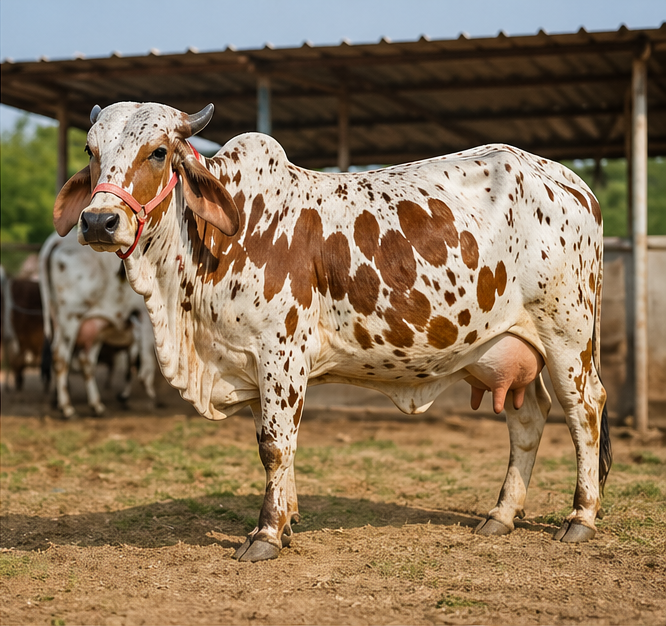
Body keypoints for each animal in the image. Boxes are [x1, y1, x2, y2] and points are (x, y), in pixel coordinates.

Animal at [39, 229, 157, 418]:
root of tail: (58, 240)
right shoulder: (143, 318)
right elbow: (144, 361)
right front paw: (145, 397)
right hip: (70, 318)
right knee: (60, 356)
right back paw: (67, 408)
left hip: (87, 325)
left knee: (85, 361)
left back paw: (95, 405)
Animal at [52, 102, 611, 561]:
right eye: (92, 150)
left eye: (158, 151)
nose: (98, 221)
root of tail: (574, 182)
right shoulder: (253, 364)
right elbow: (273, 442)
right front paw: (287, 521)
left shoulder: (281, 354)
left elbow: (275, 446)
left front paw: (266, 534)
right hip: (508, 347)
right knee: (528, 420)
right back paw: (501, 515)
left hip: (566, 336)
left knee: (584, 411)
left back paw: (580, 517)